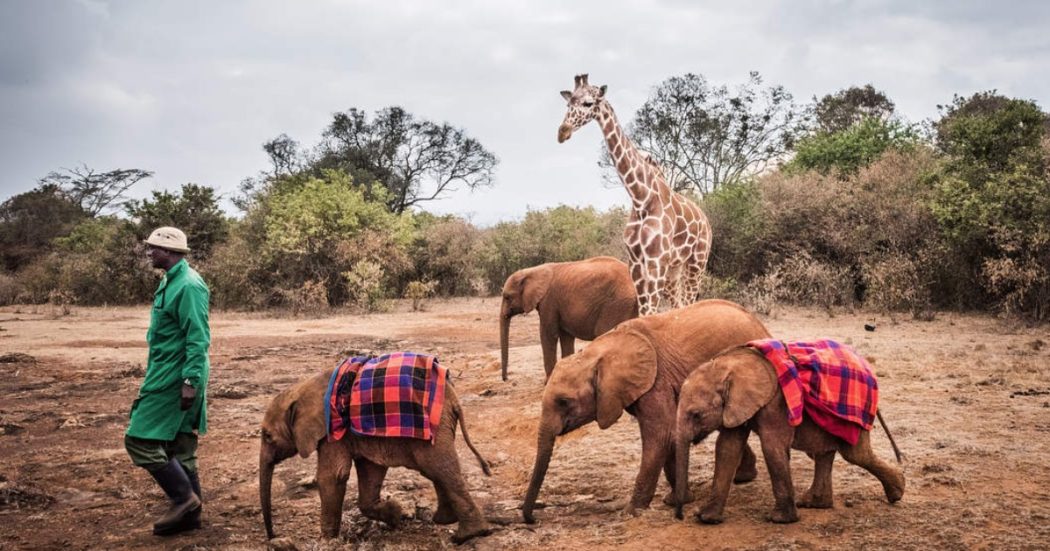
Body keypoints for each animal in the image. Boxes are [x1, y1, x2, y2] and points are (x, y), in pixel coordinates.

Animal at [558, 74, 711, 316]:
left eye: (588, 103)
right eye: (568, 104)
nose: (562, 132)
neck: (640, 197)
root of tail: (705, 219)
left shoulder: (656, 260)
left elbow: (649, 312)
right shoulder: (636, 263)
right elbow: (643, 311)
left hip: (698, 261)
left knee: (689, 302)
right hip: (675, 268)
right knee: (678, 305)